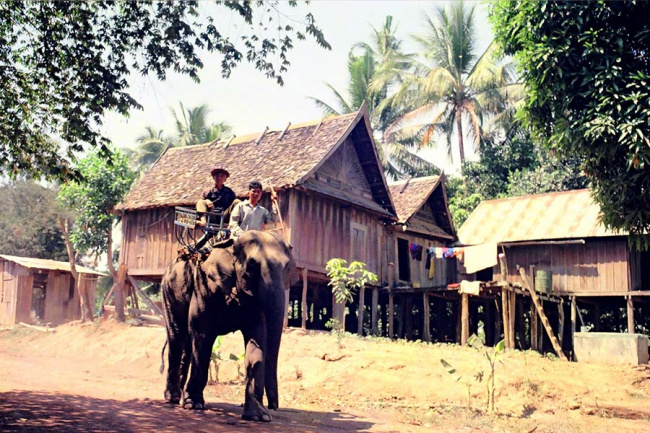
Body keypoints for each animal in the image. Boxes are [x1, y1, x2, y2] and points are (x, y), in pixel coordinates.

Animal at [161, 230, 294, 422]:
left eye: (287, 268)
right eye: (251, 267)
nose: (273, 406)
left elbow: (258, 338)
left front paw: (259, 416)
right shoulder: (204, 288)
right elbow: (202, 335)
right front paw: (193, 405)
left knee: (186, 342)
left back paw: (179, 397)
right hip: (169, 291)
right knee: (177, 337)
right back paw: (173, 398)